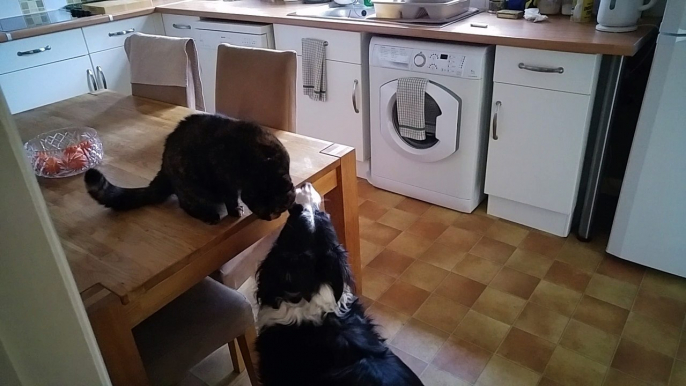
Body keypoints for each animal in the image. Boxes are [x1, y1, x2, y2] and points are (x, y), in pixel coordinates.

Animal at [84, 113, 296, 223]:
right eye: (263, 204)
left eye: (279, 207)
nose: (270, 217)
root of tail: (164, 168)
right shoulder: (224, 180)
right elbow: (230, 198)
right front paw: (235, 210)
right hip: (193, 187)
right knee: (184, 204)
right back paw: (210, 216)